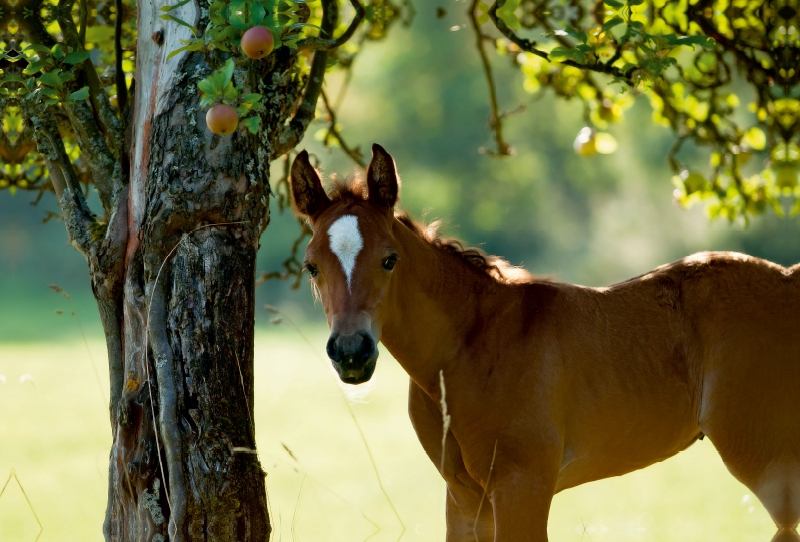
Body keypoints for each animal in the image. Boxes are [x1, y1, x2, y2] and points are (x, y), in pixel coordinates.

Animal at [290, 144, 800, 542]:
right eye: (312, 266)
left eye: (389, 259)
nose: (351, 353)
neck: (470, 346)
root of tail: (789, 280)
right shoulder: (464, 498)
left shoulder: (523, 487)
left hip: (767, 459)